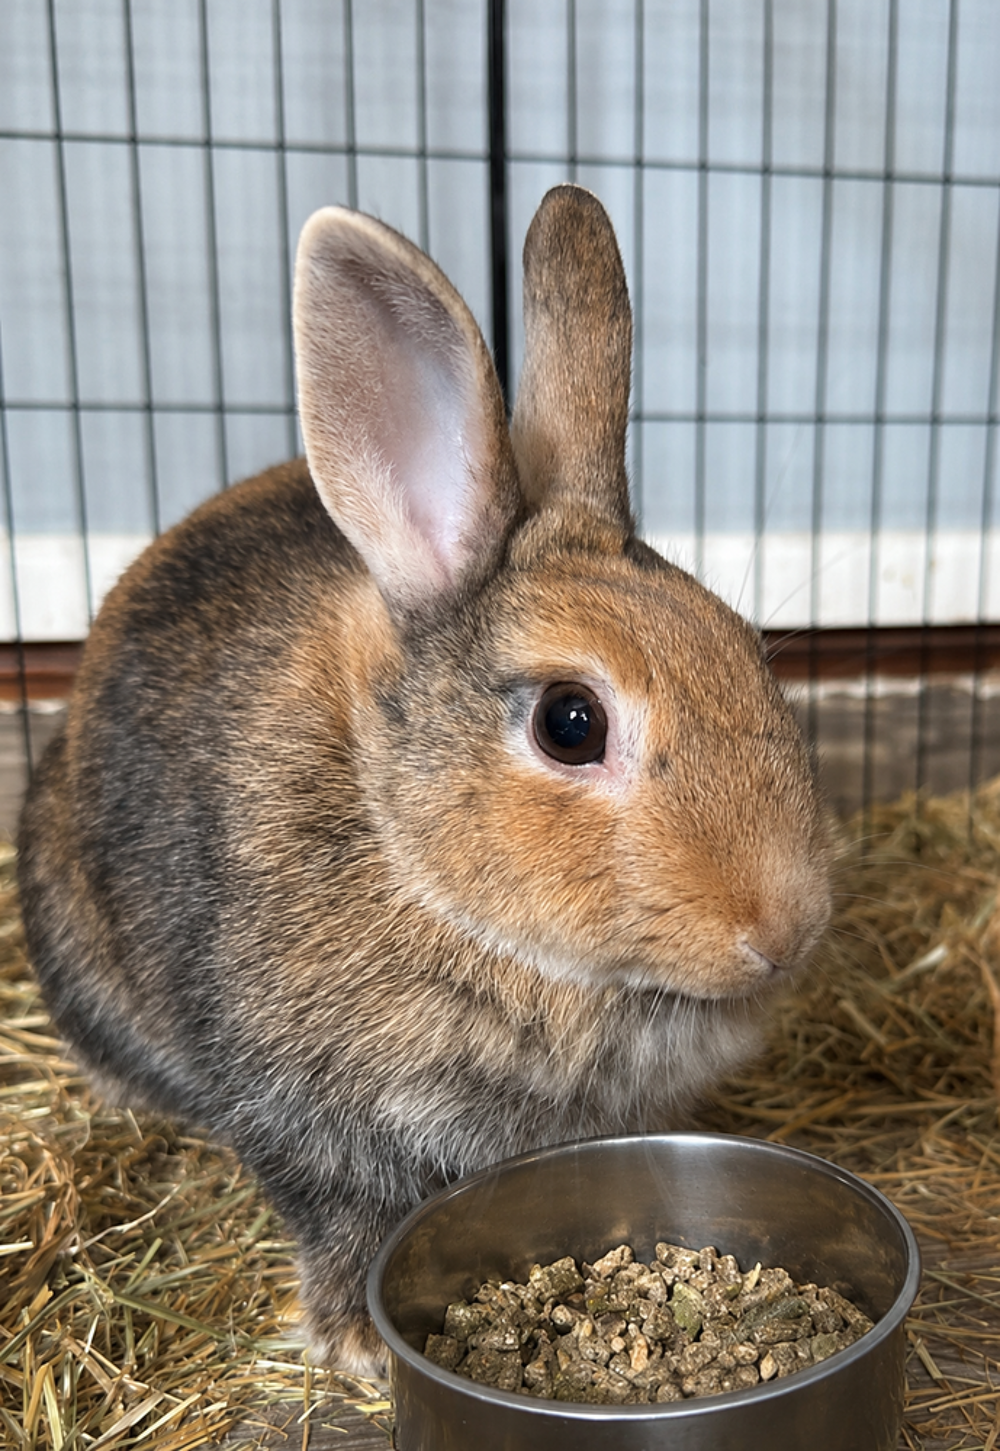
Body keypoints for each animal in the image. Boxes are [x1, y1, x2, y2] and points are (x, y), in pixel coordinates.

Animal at [17, 184, 832, 1378]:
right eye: (570, 722)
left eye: (750, 652)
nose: (787, 928)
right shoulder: (297, 1105)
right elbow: (335, 1207)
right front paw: (358, 1341)